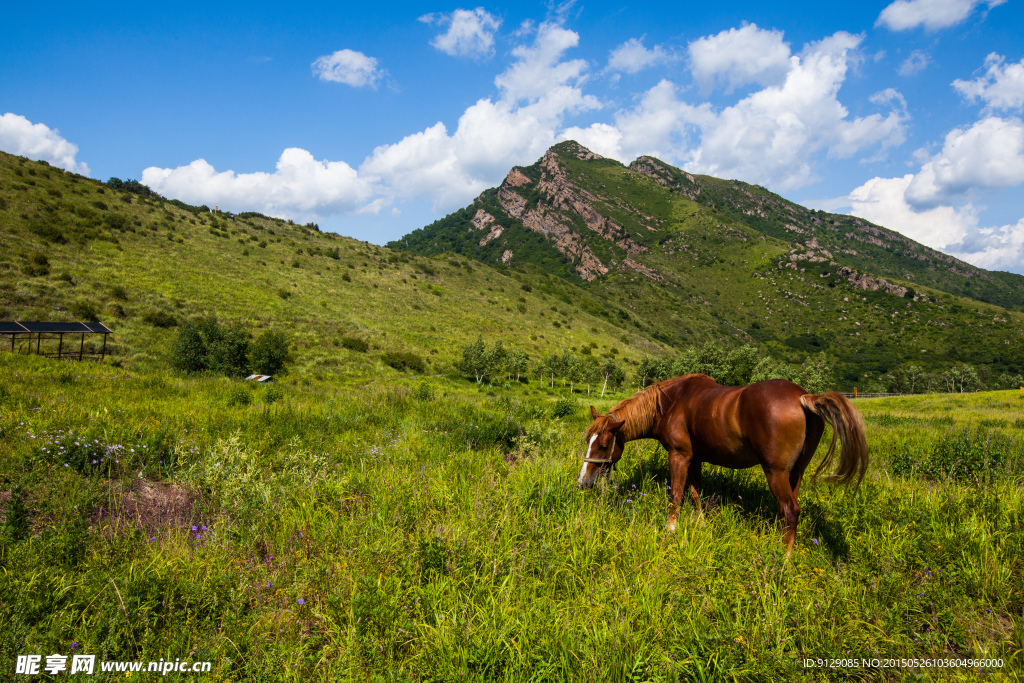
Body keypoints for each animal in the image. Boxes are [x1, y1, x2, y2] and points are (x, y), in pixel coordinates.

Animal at [581, 374, 868, 557]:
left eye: (603, 445)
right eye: (587, 440)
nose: (583, 482)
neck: (671, 403)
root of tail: (804, 397)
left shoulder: (679, 456)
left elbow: (677, 495)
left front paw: (670, 530)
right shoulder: (695, 459)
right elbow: (695, 494)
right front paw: (700, 523)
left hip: (775, 473)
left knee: (791, 510)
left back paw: (784, 557)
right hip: (794, 473)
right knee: (788, 510)